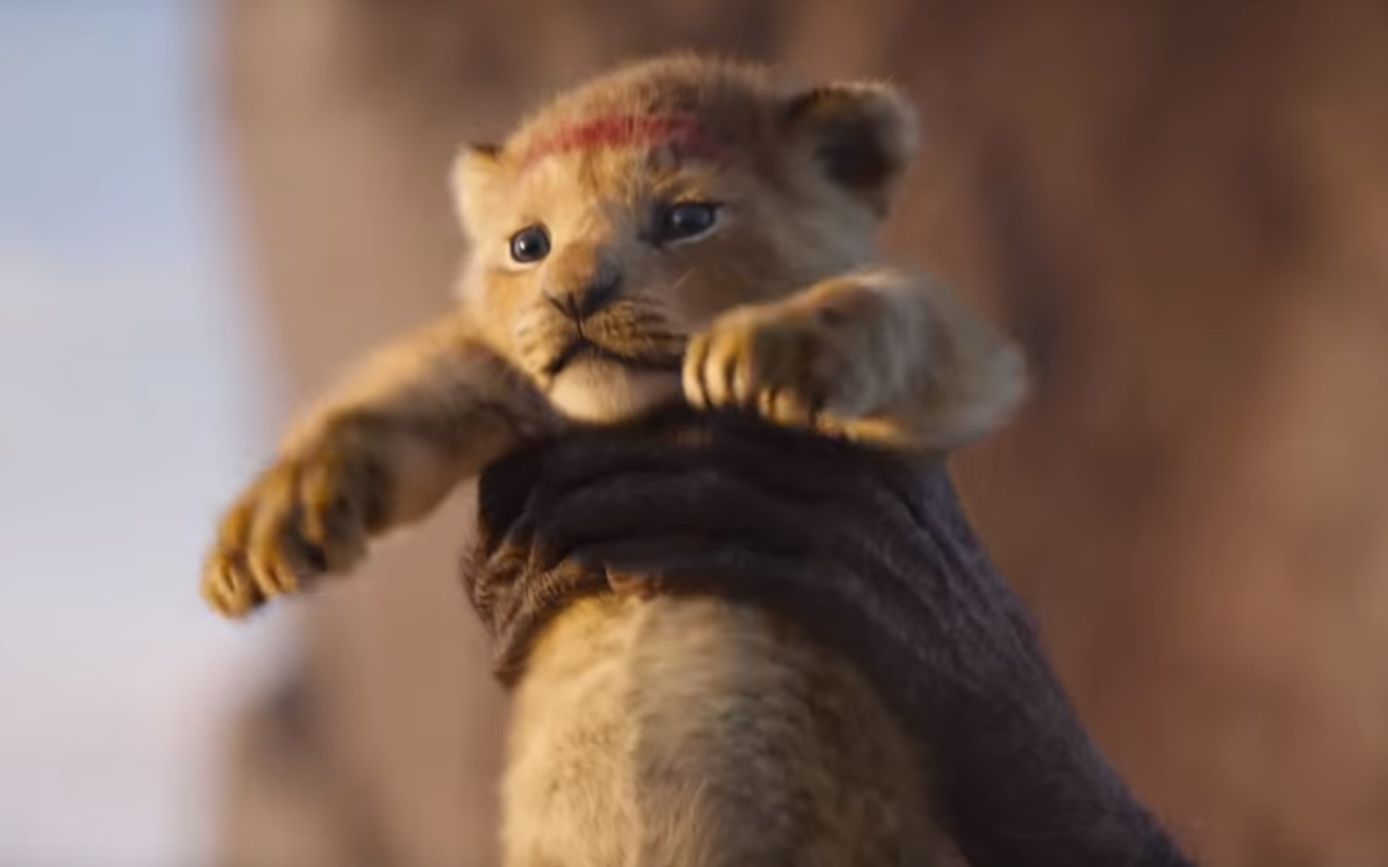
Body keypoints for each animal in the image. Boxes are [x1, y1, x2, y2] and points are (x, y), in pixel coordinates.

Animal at [203, 55, 1025, 866]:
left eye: (688, 220)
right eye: (528, 245)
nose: (572, 295)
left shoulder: (971, 368)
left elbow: (893, 311)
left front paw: (767, 349)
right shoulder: (490, 373)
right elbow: (390, 397)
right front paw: (273, 523)